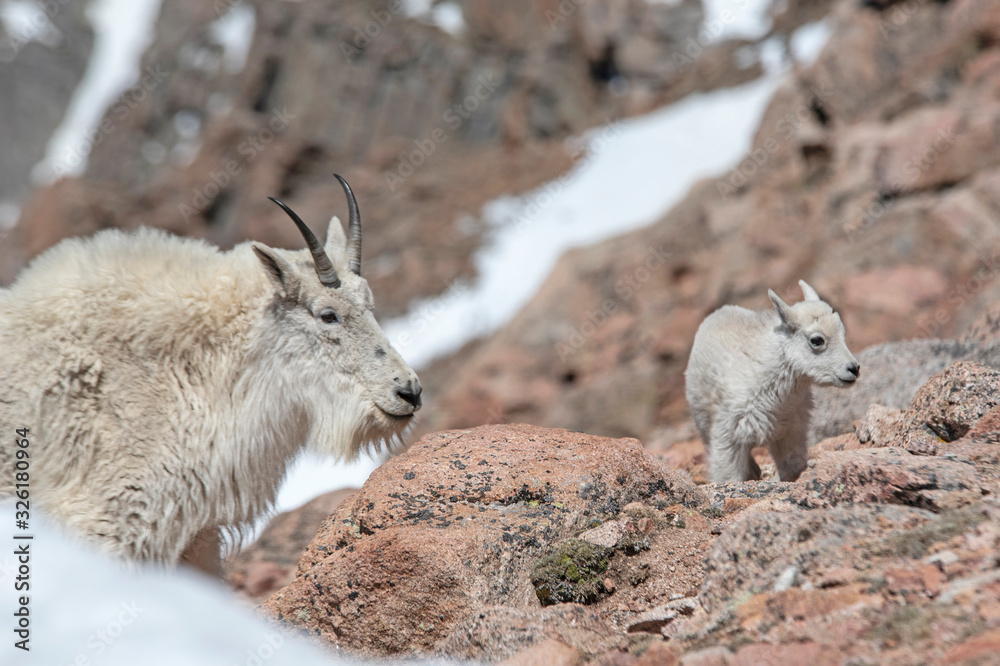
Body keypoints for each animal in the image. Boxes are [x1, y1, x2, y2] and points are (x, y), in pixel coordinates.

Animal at [685, 280, 859, 483]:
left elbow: (792, 468)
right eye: (817, 340)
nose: (854, 369)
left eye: (843, 333)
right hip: (703, 420)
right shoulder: (728, 435)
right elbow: (728, 476)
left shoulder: (791, 432)